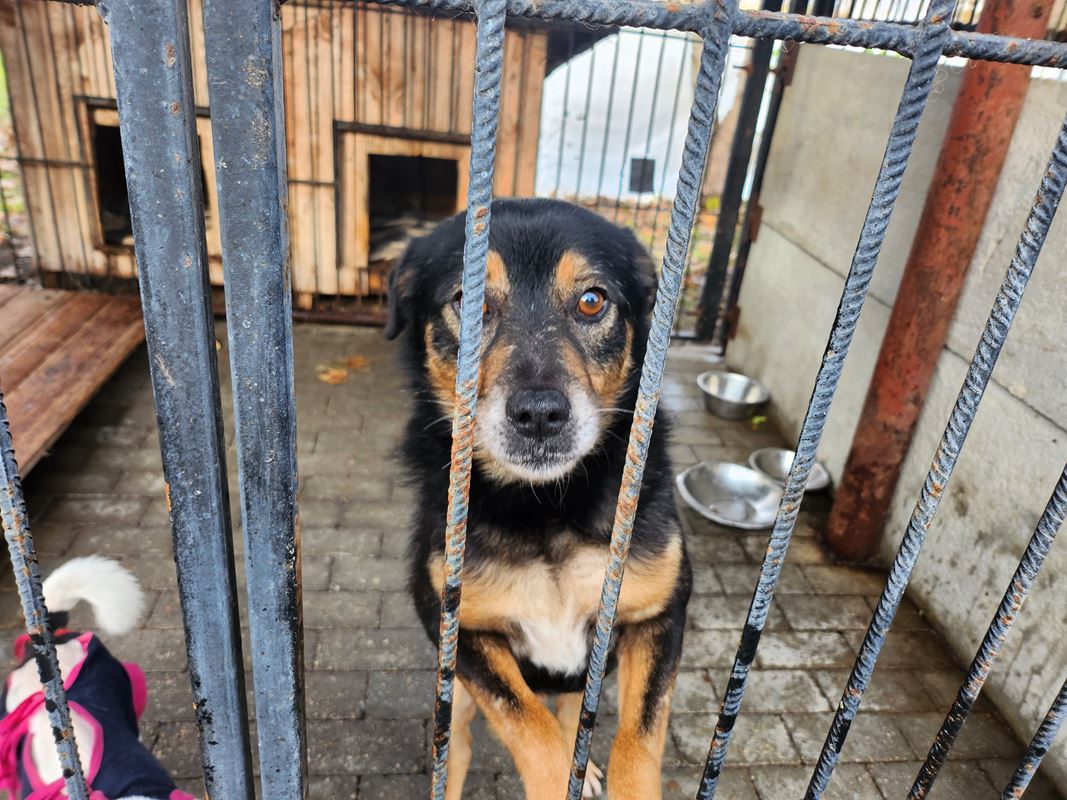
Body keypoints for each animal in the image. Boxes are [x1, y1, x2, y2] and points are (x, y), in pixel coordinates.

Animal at [387, 198, 691, 800]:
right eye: (468, 301)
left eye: (592, 300)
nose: (540, 416)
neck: (546, 507)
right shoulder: (460, 631)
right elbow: (530, 726)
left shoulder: (660, 615)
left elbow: (637, 740)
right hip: (454, 700)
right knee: (457, 749)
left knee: (576, 720)